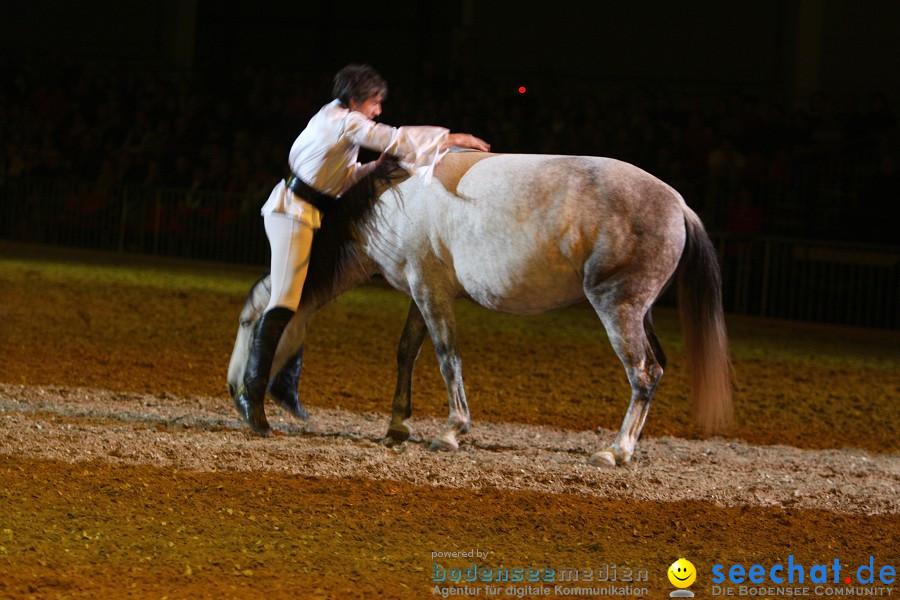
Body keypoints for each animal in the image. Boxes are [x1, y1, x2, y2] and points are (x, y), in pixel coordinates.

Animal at [225, 151, 732, 468]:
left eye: (248, 322)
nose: (234, 391)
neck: (391, 200)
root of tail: (679, 204)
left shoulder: (431, 293)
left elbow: (447, 357)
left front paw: (452, 430)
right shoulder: (420, 292)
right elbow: (407, 352)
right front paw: (397, 424)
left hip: (618, 308)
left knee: (642, 374)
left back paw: (616, 450)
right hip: (641, 313)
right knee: (657, 369)